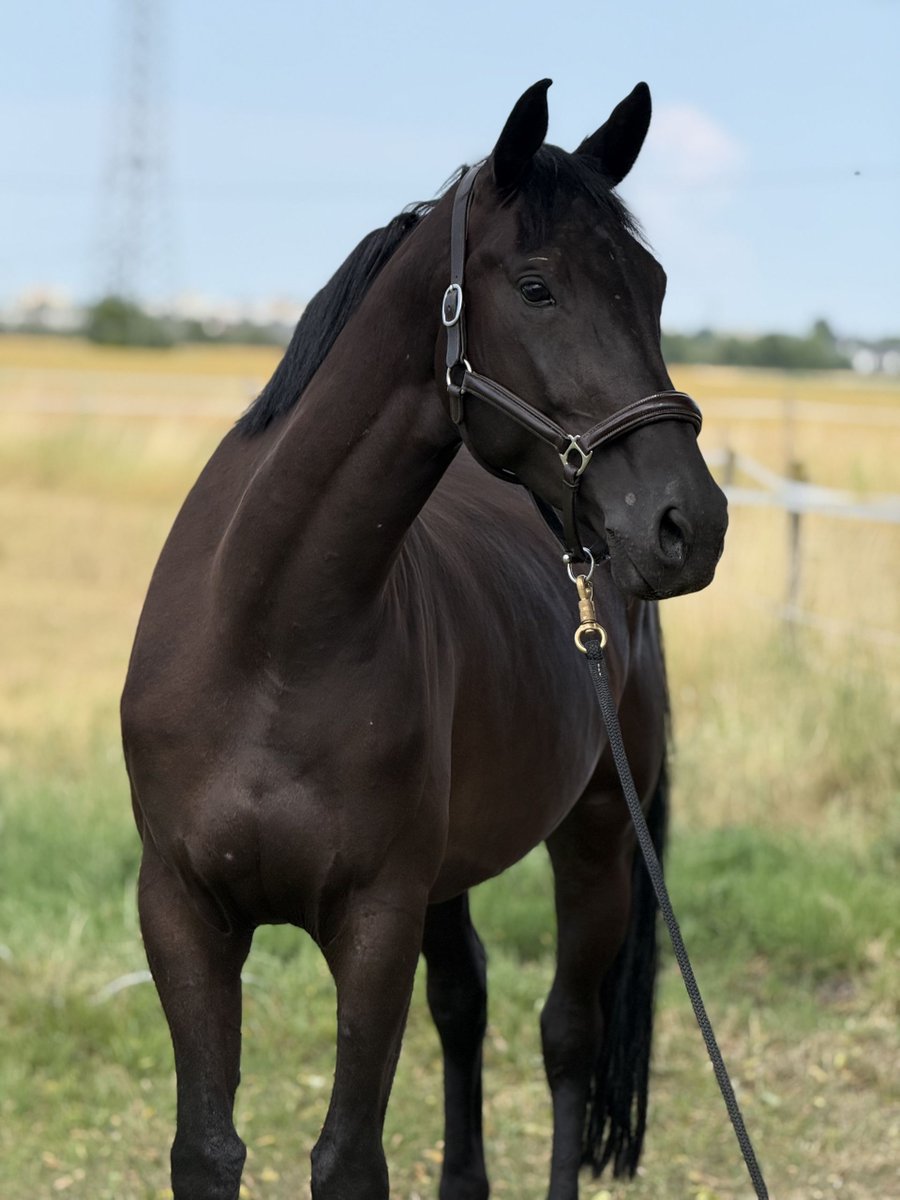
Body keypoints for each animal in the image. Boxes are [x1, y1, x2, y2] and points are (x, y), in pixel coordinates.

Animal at [121, 79, 728, 1200]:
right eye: (536, 286)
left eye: (655, 284)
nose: (687, 523)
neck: (270, 640)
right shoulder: (182, 911)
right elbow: (207, 1149)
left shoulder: (376, 922)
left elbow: (350, 1156)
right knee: (468, 1001)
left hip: (595, 837)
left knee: (567, 1035)